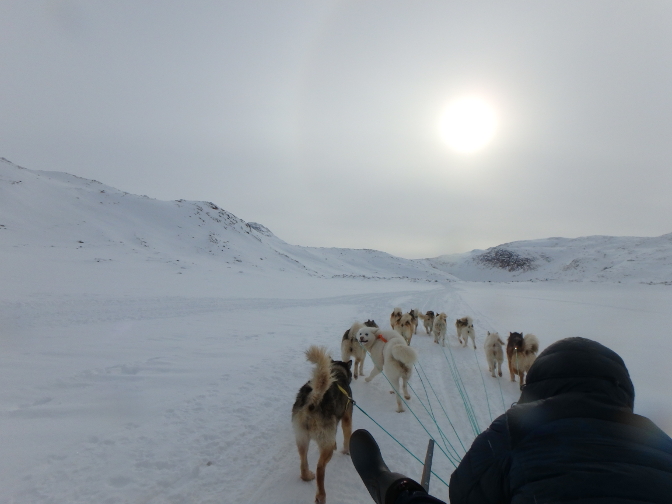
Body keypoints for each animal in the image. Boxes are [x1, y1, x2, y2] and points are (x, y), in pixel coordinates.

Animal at [292, 346, 354, 504]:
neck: (337, 373)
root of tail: (313, 400)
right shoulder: (347, 418)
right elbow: (347, 436)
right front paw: (346, 451)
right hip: (325, 446)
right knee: (320, 468)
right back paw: (321, 496)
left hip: (302, 439)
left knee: (303, 462)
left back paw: (307, 476)